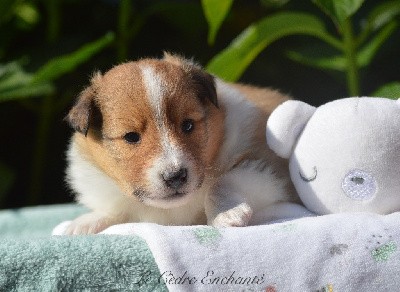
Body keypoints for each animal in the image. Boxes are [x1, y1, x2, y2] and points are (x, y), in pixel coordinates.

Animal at [64, 53, 296, 235]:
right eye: (131, 136)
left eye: (187, 125)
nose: (175, 176)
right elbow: (115, 210)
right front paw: (84, 223)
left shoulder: (264, 166)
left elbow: (222, 182)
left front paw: (227, 213)